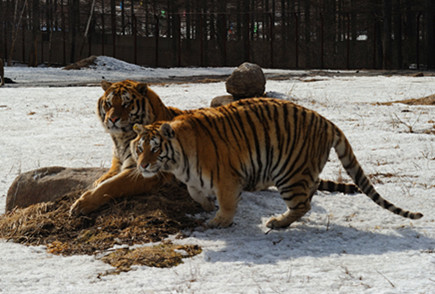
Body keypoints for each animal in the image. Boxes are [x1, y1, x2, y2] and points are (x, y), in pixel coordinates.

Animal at [131, 97, 424, 229]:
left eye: (155, 149)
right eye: (140, 148)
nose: (143, 165)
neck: (178, 161)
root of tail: (328, 122)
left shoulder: (227, 178)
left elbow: (227, 204)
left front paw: (218, 221)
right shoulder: (194, 179)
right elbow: (195, 192)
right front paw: (205, 206)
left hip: (289, 173)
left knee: (302, 204)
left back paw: (278, 222)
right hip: (303, 172)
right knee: (311, 191)